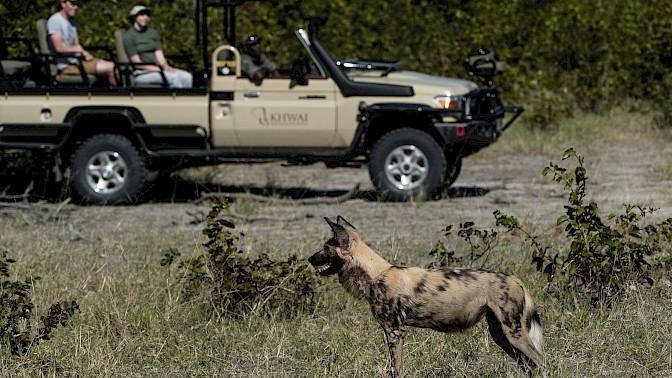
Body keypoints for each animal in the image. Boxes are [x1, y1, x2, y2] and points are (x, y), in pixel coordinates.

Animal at [310, 217, 544, 376]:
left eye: (325, 248)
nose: (309, 258)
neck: (375, 274)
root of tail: (515, 279)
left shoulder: (395, 332)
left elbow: (396, 369)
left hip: (513, 332)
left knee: (540, 359)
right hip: (501, 334)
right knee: (528, 364)